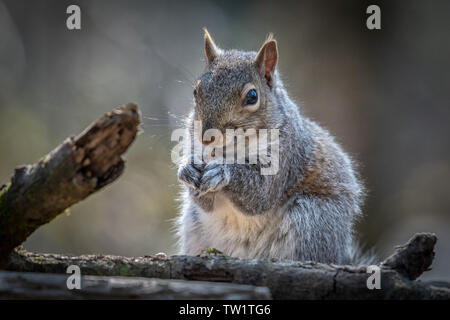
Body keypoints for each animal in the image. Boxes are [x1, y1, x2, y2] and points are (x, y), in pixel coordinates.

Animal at [176, 29, 370, 264]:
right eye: (196, 91)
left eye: (252, 96)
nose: (206, 137)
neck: (232, 148)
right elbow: (205, 203)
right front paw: (187, 169)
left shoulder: (286, 153)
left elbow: (262, 193)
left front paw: (223, 170)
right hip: (193, 223)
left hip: (312, 219)